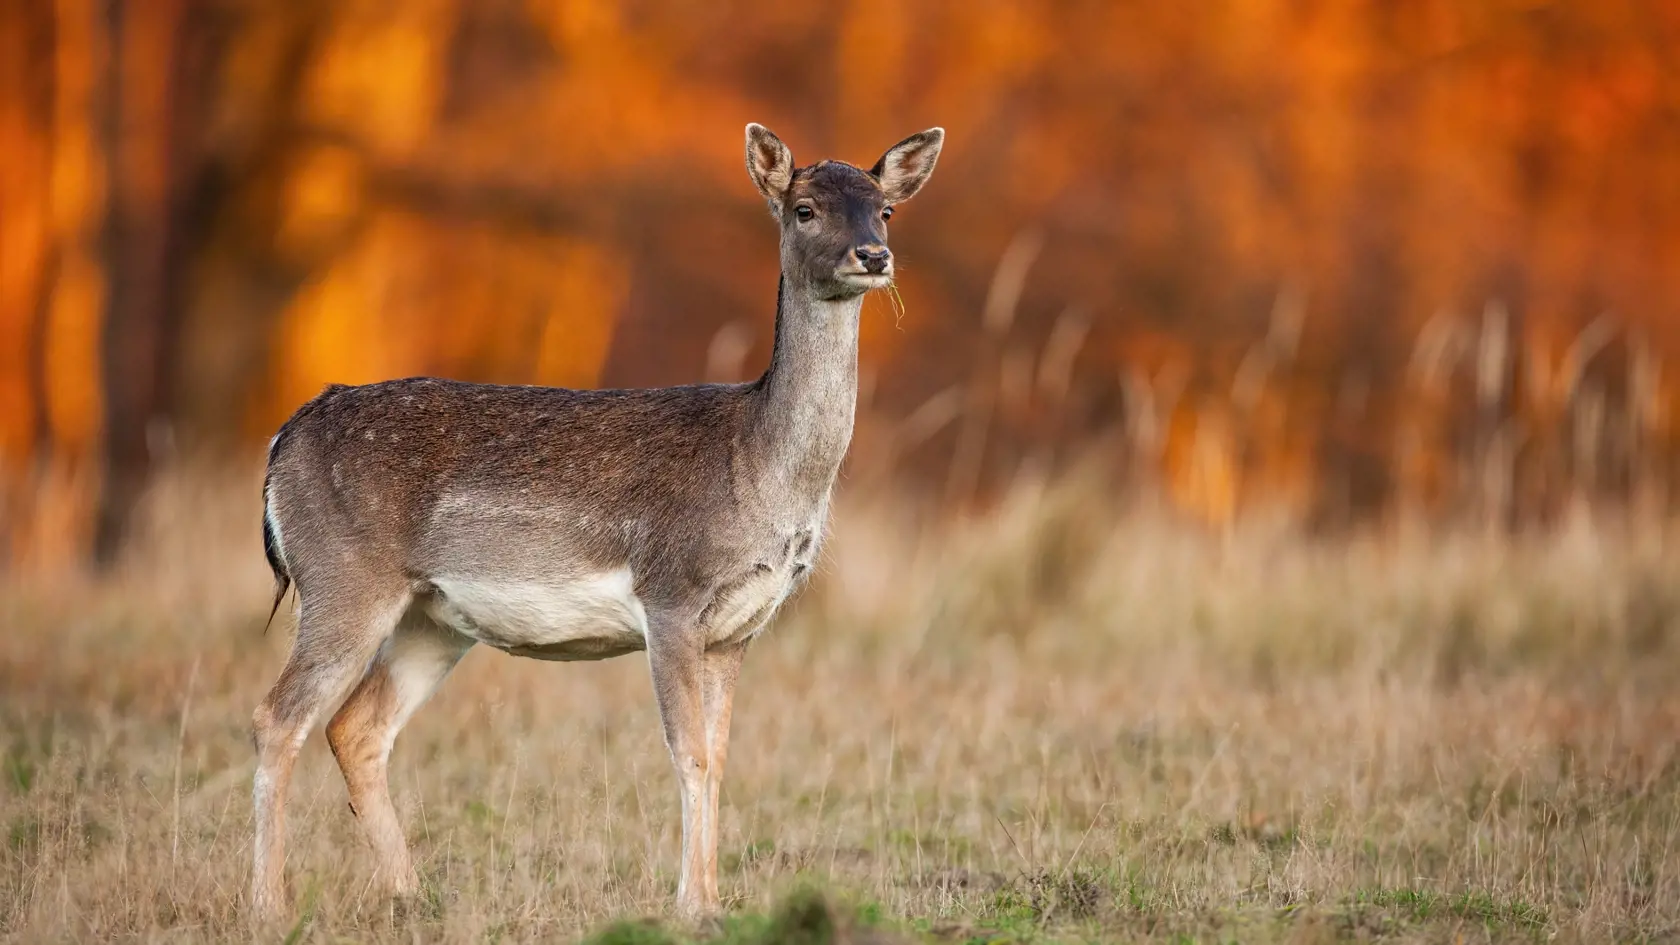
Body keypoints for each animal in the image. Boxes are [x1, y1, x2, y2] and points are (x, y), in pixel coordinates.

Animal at [250, 121, 947, 914]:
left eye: (884, 209)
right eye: (804, 208)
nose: (873, 255)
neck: (760, 468)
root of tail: (282, 440)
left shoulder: (740, 628)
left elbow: (722, 757)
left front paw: (712, 900)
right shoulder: (672, 595)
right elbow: (690, 754)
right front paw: (691, 907)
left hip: (432, 617)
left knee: (356, 727)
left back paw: (412, 894)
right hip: (342, 577)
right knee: (278, 718)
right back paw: (270, 903)